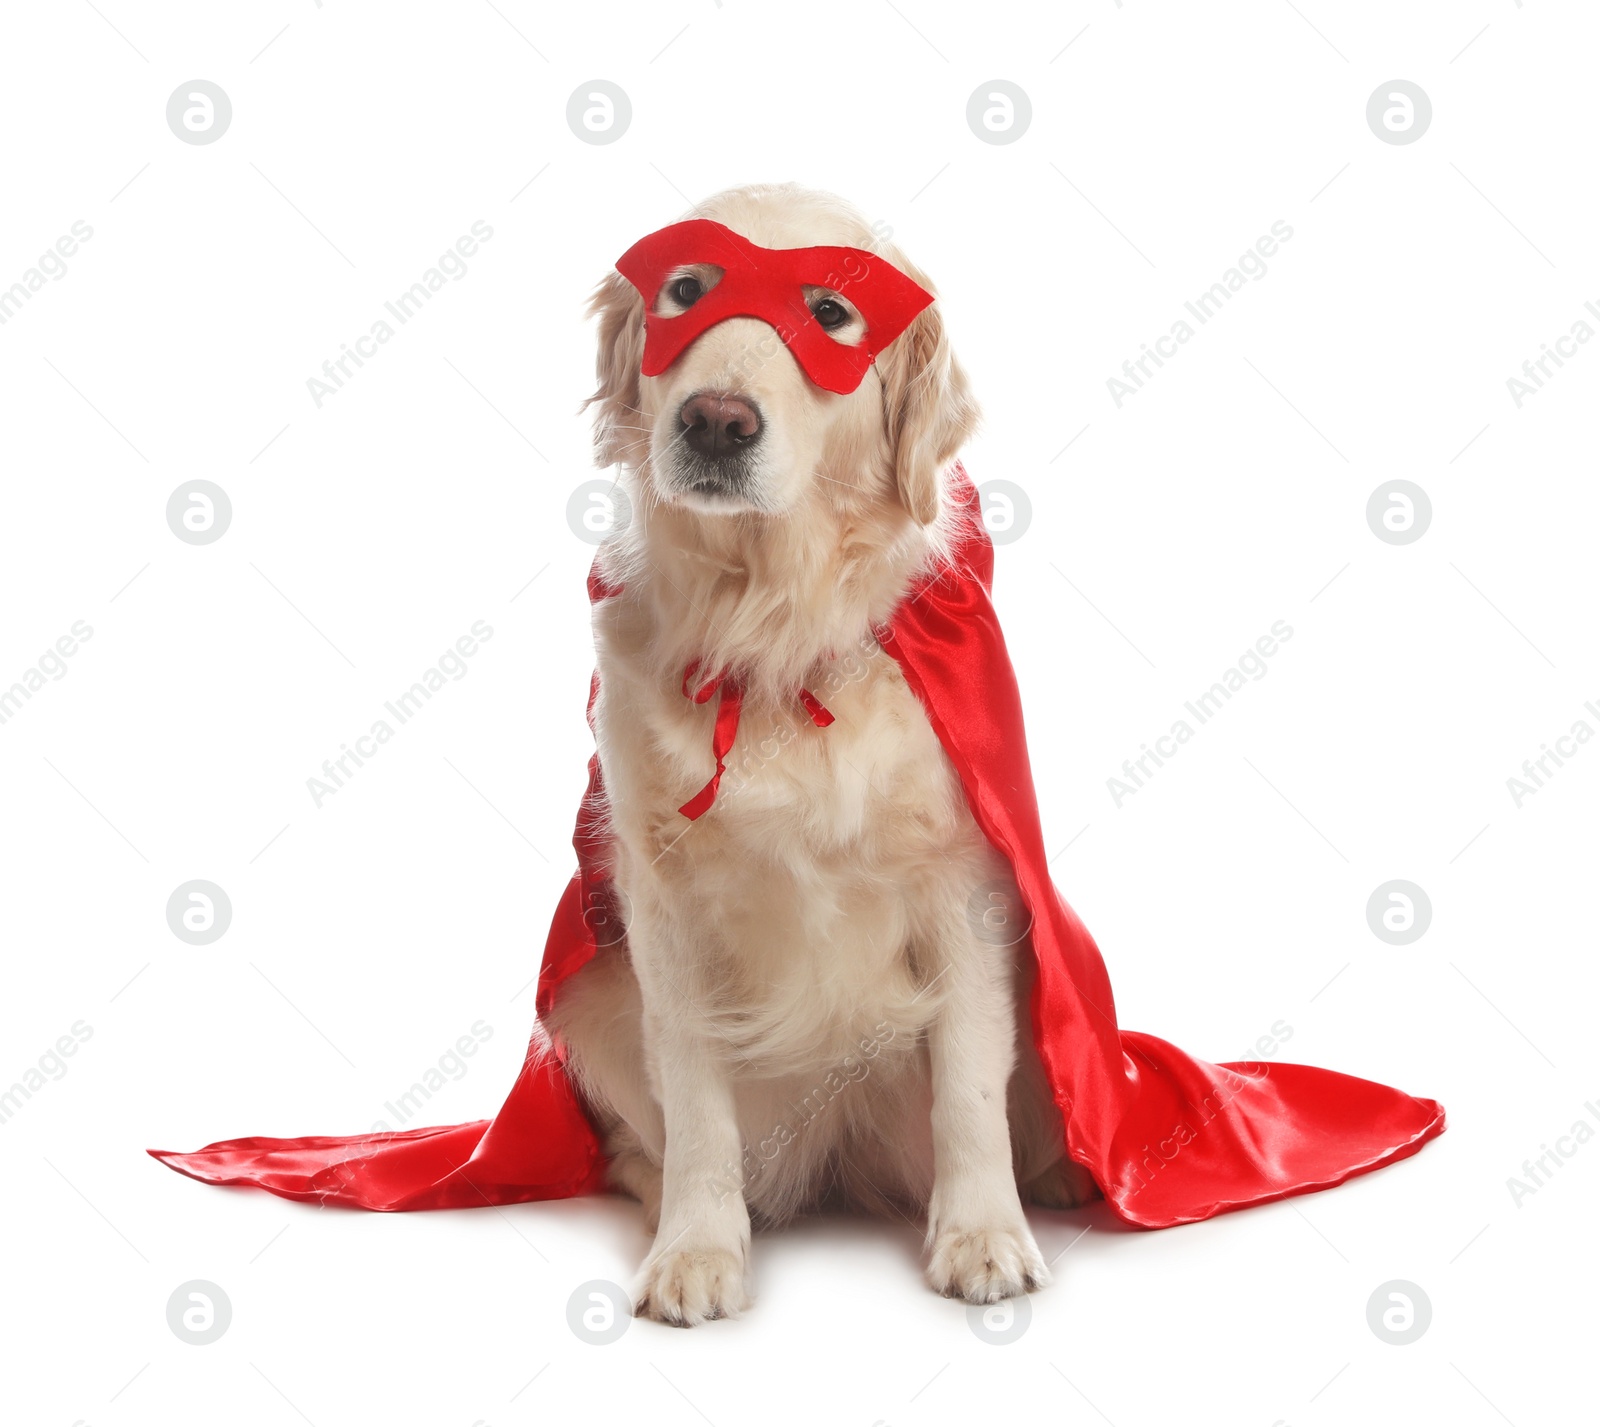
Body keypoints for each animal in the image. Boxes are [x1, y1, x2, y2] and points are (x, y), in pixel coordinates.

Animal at [544, 180, 1094, 1324]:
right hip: (591, 998)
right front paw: (696, 1249)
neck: (773, 630)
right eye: (686, 290)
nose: (714, 421)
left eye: (832, 316)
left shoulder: (964, 879)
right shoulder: (662, 900)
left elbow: (969, 1081)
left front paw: (984, 1235)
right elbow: (696, 1098)